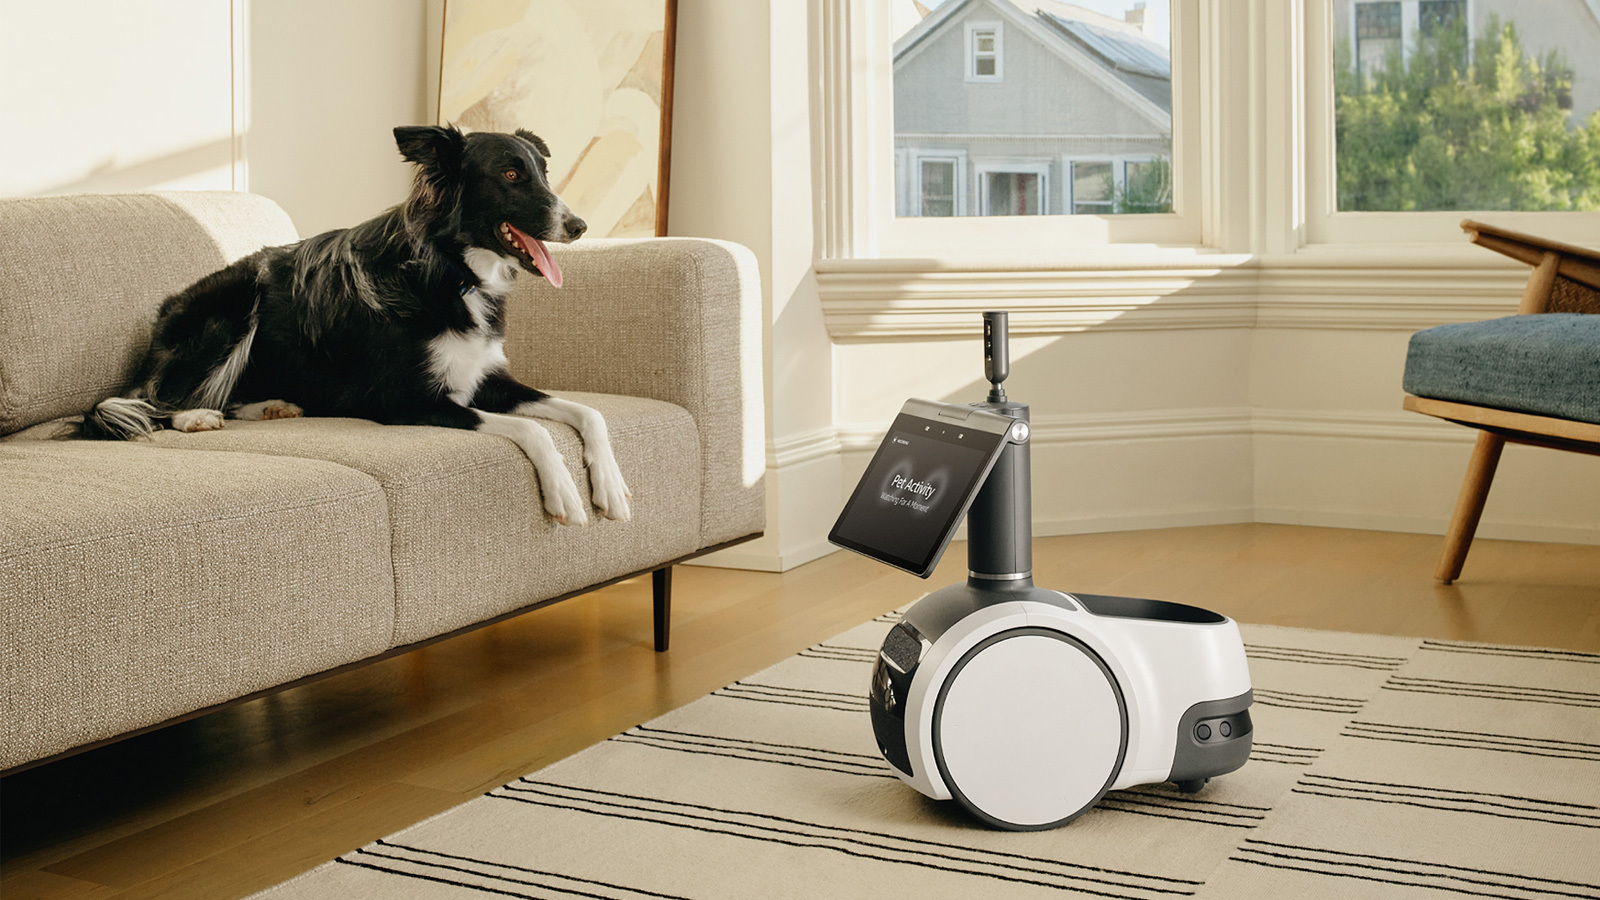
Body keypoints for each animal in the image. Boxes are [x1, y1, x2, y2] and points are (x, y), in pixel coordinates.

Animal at [84, 122, 627, 522]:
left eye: (543, 173)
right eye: (511, 175)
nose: (580, 226)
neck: (450, 270)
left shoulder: (488, 378)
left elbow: (588, 412)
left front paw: (612, 486)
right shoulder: (407, 400)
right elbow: (535, 430)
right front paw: (564, 492)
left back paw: (272, 406)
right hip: (233, 305)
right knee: (155, 399)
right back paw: (195, 416)